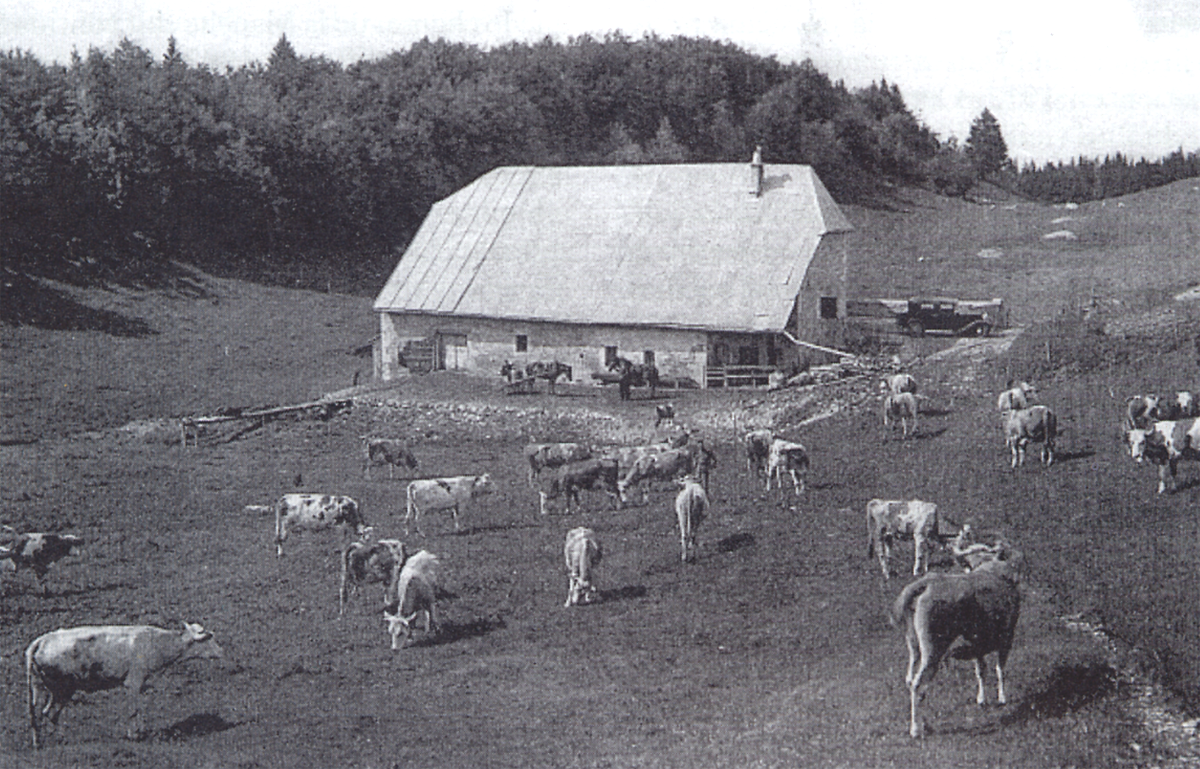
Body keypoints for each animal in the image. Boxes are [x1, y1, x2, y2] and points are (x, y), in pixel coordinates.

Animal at [23, 619, 225, 748]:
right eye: (209, 638)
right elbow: (133, 710)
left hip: (44, 687)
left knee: (42, 714)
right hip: (62, 689)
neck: (156, 643)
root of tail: (42, 640)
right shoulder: (134, 681)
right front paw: (134, 735)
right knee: (49, 713)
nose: (221, 651)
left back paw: (41, 742)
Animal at [892, 551, 1022, 739]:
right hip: (933, 649)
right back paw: (916, 729)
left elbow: (981, 671)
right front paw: (1002, 698)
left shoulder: (977, 644)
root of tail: (928, 582)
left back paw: (926, 725)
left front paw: (982, 699)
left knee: (911, 680)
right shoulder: (1007, 636)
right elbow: (1000, 669)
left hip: (914, 644)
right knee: (918, 685)